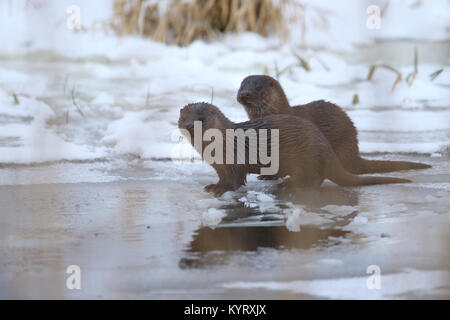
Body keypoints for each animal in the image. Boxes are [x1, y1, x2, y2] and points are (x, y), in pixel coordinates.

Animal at [178, 102, 410, 198]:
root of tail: (326, 148)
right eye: (184, 117)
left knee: (316, 179)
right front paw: (213, 186)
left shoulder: (235, 161)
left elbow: (235, 180)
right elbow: (223, 177)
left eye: (201, 119)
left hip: (307, 158)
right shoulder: (220, 167)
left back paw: (291, 185)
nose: (189, 126)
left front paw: (220, 190)